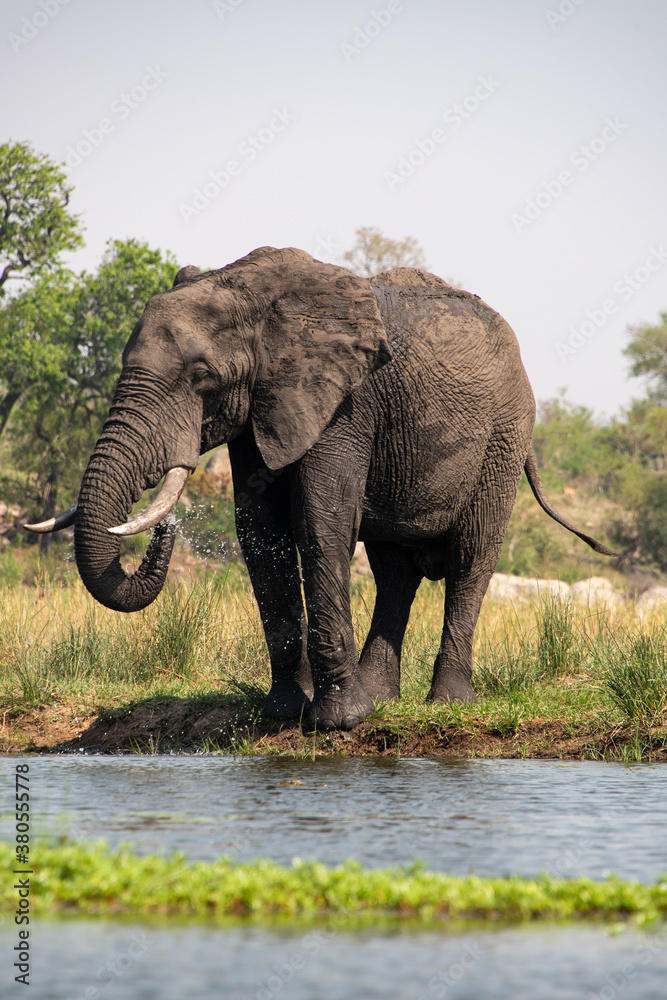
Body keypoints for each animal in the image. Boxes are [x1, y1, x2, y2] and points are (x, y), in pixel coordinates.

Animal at [26, 246, 614, 730]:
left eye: (202, 377)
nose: (165, 527)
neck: (255, 295)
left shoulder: (345, 406)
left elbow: (320, 523)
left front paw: (338, 722)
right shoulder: (263, 407)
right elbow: (260, 533)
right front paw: (281, 715)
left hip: (503, 439)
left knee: (472, 558)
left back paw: (444, 704)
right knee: (394, 571)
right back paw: (381, 698)